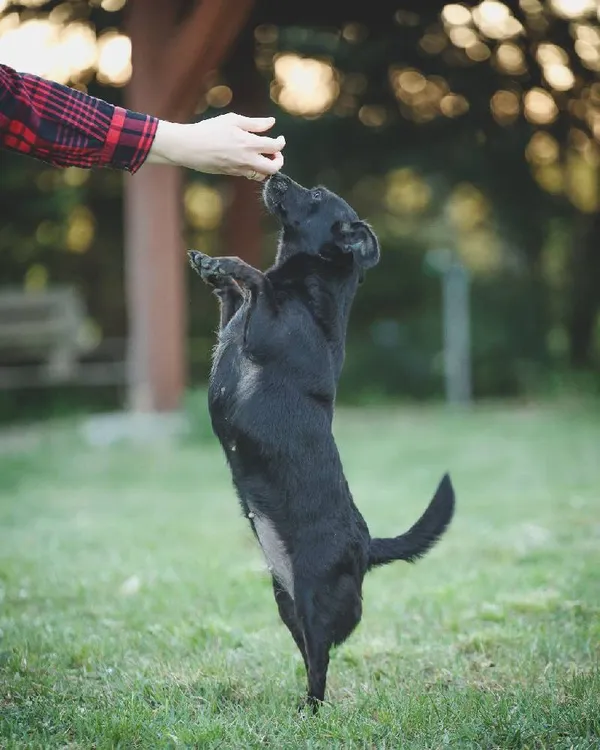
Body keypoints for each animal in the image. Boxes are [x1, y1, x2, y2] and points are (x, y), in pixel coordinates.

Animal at [189, 173, 454, 712]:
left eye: (313, 196)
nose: (275, 173)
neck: (305, 293)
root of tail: (367, 545)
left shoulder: (263, 330)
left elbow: (257, 278)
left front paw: (231, 265)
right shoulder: (232, 325)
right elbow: (235, 295)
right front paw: (213, 269)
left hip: (314, 598)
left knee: (321, 660)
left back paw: (309, 709)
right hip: (285, 600)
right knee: (313, 652)